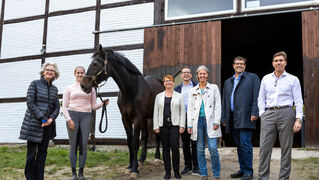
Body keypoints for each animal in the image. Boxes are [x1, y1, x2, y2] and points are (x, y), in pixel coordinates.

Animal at [81, 44, 165, 177]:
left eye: (95, 63)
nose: (83, 86)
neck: (130, 90)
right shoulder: (125, 118)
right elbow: (130, 142)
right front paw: (130, 166)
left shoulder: (137, 118)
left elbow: (135, 143)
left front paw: (135, 170)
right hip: (145, 118)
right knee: (145, 135)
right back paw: (141, 159)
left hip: (154, 115)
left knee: (157, 135)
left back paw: (157, 158)